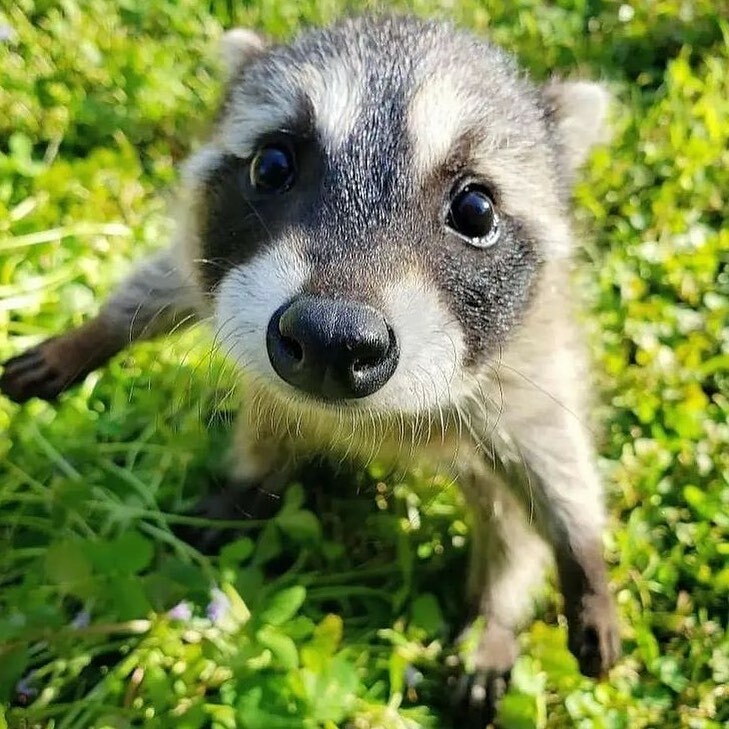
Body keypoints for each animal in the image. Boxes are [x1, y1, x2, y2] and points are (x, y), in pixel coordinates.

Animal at [4, 14, 620, 724]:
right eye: (272, 165)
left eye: (476, 211)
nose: (331, 338)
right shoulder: (206, 258)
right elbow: (161, 285)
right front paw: (89, 337)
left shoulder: (528, 354)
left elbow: (552, 454)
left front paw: (584, 559)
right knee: (268, 434)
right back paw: (241, 493)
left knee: (510, 527)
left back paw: (493, 615)